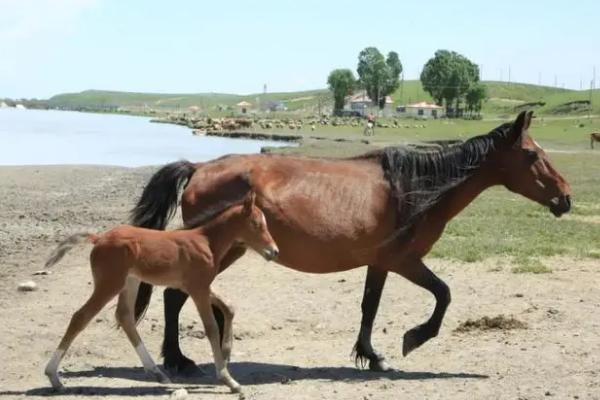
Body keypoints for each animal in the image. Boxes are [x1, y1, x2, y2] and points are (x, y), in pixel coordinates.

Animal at [44, 193, 278, 394]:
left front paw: (227, 354)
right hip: (110, 284)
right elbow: (211, 327)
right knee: (81, 316)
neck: (207, 242)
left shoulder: (195, 286)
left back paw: (157, 373)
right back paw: (54, 377)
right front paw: (228, 379)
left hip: (130, 282)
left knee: (124, 317)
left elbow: (229, 307)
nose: (274, 251)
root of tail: (98, 238)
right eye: (256, 224)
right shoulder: (198, 289)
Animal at [129, 111, 568, 374]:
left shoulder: (381, 262)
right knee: (176, 296)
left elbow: (369, 307)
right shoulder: (405, 260)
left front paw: (370, 356)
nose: (565, 197)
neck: (414, 188)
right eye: (532, 155)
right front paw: (413, 339)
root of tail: (200, 166)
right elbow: (443, 294)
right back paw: (179, 360)